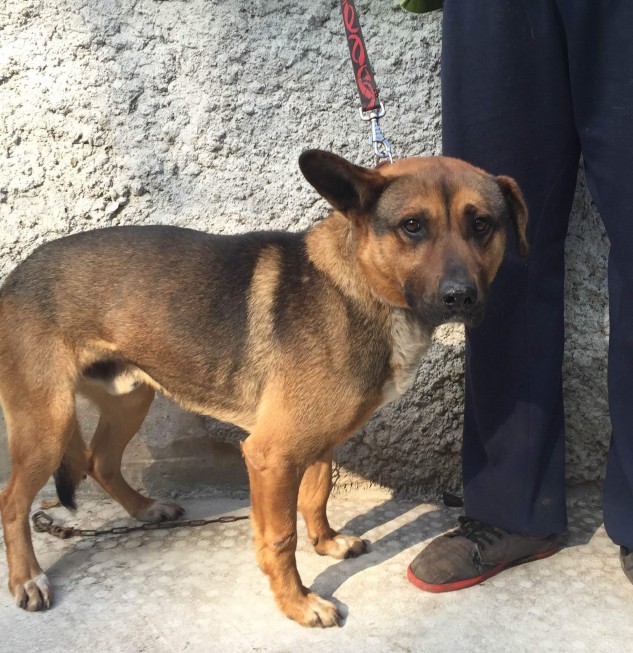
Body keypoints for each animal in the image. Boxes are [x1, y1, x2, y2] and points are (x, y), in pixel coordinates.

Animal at [0, 150, 528, 626]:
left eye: (482, 225)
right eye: (413, 226)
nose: (460, 297)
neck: (360, 285)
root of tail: (16, 274)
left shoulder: (317, 442)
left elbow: (316, 495)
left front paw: (327, 543)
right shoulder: (271, 455)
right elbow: (279, 537)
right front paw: (298, 603)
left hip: (130, 398)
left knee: (100, 462)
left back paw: (146, 509)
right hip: (49, 425)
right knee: (13, 501)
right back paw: (27, 578)